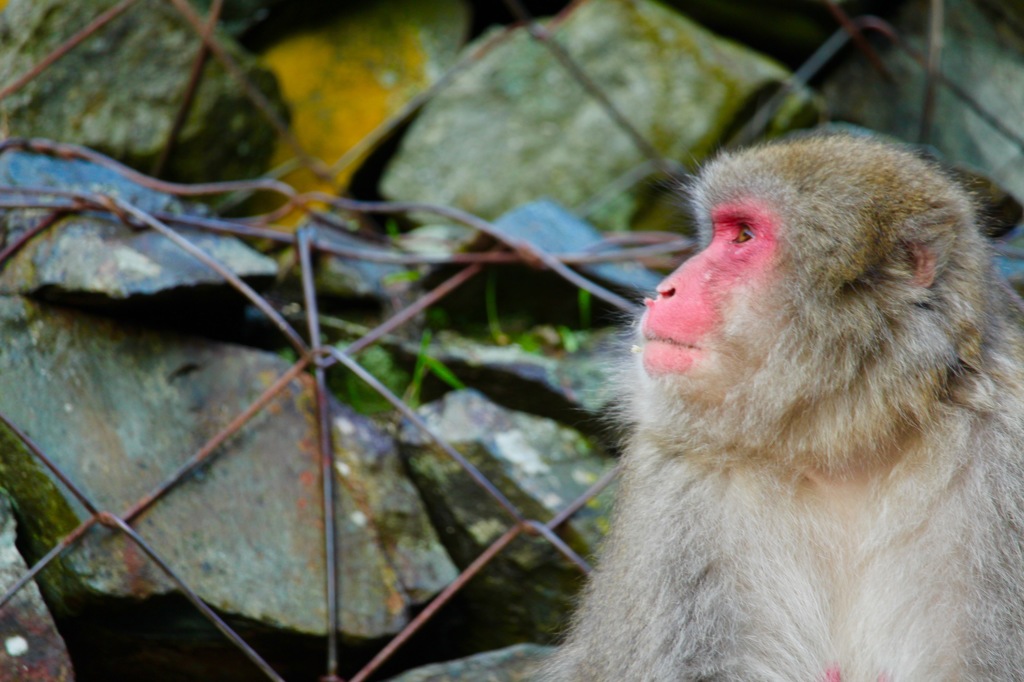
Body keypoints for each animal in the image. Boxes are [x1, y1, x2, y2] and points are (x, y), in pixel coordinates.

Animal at [536, 134, 1024, 679]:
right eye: (720, 232)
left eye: (744, 236)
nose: (663, 289)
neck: (842, 441)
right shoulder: (677, 482)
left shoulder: (1005, 458)